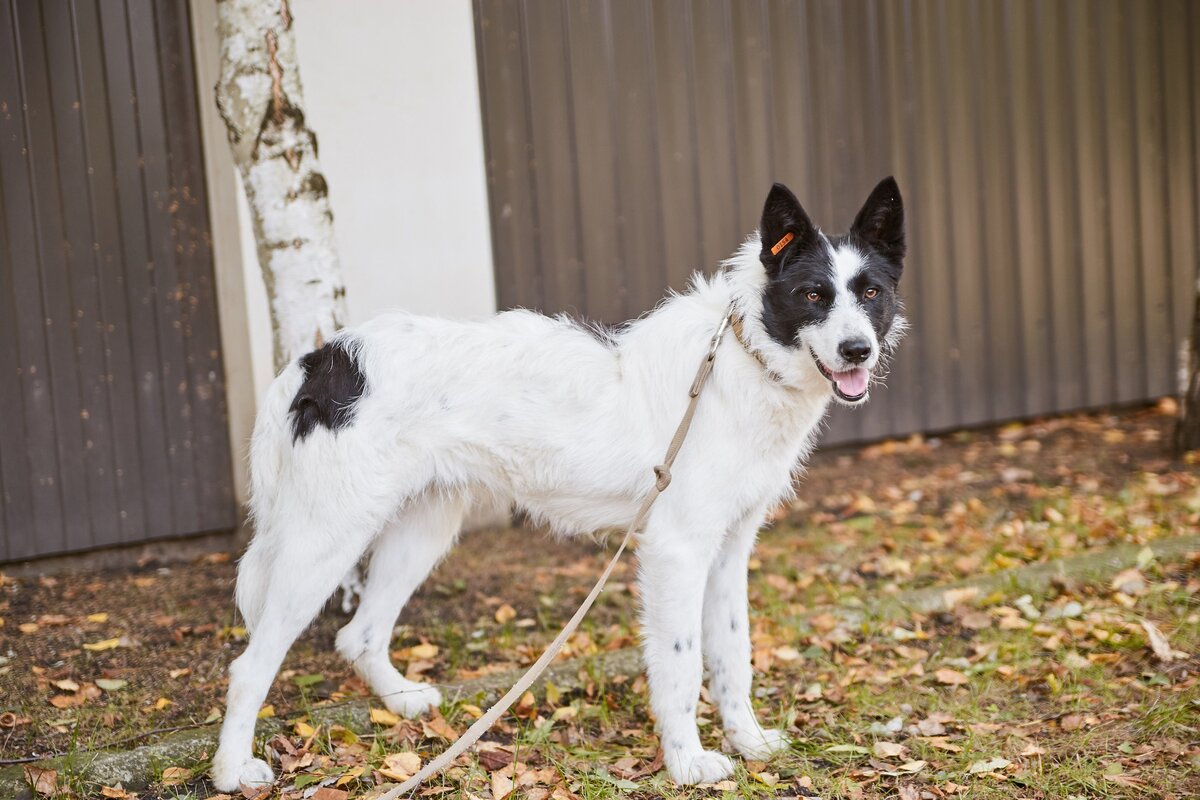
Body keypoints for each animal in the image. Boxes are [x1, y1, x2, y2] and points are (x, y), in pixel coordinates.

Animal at [213, 176, 907, 786]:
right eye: (813, 295)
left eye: (871, 293)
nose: (857, 351)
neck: (741, 357)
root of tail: (321, 360)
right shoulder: (677, 552)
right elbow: (682, 666)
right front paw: (687, 763)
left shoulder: (729, 551)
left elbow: (733, 655)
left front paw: (750, 741)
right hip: (324, 540)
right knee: (250, 667)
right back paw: (230, 772)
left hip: (422, 529)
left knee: (358, 634)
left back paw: (403, 701)